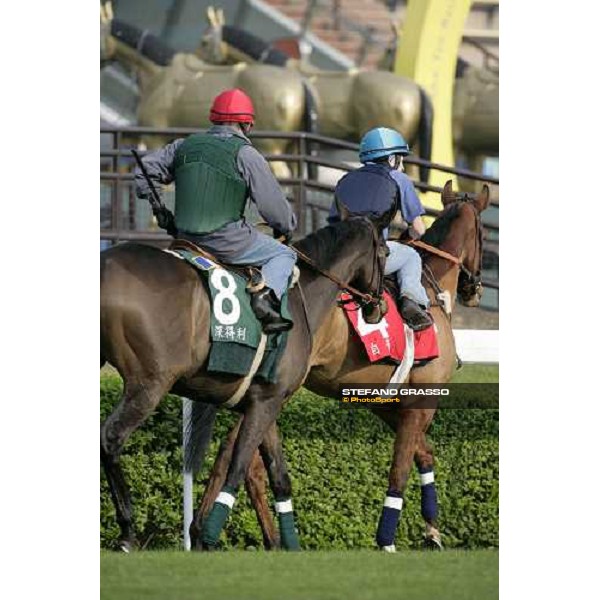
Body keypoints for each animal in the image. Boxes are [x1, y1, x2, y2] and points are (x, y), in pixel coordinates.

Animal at [99, 206, 392, 552]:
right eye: (386, 251)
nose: (379, 306)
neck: (300, 297)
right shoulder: (265, 403)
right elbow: (237, 469)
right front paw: (208, 537)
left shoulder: (267, 402)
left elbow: (279, 476)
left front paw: (290, 546)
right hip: (149, 384)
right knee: (110, 438)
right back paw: (127, 530)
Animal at [190, 180, 490, 552]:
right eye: (484, 234)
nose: (475, 290)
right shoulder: (422, 401)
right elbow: (401, 468)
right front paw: (389, 541)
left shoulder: (387, 404)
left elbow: (424, 454)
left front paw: (432, 531)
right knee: (245, 461)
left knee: (235, 458)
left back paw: (224, 533)